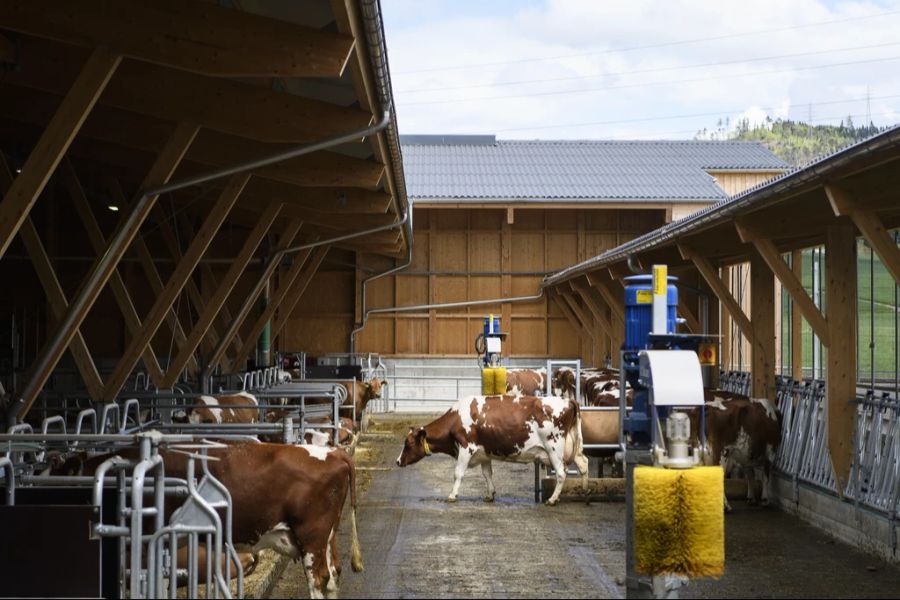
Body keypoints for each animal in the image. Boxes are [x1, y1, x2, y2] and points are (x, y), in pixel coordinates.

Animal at [57, 442, 362, 596]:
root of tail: (334, 452)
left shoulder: (149, 539)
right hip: (326, 535)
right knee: (333, 573)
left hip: (312, 534)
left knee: (319, 578)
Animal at [396, 396, 592, 504]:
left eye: (408, 443)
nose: (397, 461)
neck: (456, 419)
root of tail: (567, 400)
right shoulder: (483, 453)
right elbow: (487, 474)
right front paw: (490, 494)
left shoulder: (466, 447)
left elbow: (458, 473)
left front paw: (452, 495)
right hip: (573, 447)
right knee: (583, 464)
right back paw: (585, 493)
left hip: (554, 448)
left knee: (561, 473)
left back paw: (552, 499)